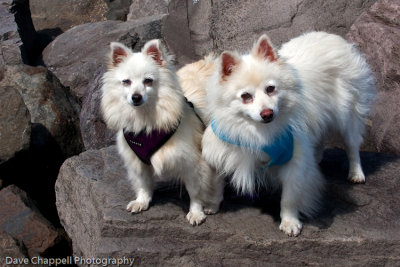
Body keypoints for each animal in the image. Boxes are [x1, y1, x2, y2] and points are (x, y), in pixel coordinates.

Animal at [101, 38, 222, 225]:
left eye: (148, 81)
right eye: (126, 82)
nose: (136, 97)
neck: (145, 119)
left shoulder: (192, 163)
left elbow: (195, 191)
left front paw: (196, 212)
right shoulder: (137, 161)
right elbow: (143, 183)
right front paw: (142, 201)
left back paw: (212, 205)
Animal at [180, 31, 376, 237]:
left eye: (271, 89)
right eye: (246, 97)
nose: (267, 113)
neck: (257, 131)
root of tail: (332, 37)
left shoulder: (293, 160)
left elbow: (289, 197)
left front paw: (290, 222)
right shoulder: (222, 151)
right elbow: (217, 183)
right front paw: (212, 205)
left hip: (348, 115)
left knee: (352, 146)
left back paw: (356, 173)